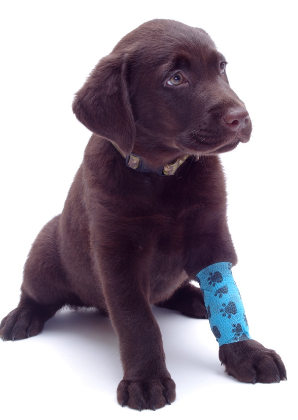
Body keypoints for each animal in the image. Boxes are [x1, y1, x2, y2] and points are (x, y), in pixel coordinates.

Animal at [0, 18, 286, 410]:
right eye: (175, 79)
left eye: (221, 67)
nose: (241, 118)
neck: (162, 175)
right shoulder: (117, 256)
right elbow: (137, 321)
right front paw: (146, 379)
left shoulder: (212, 237)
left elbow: (228, 299)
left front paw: (247, 353)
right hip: (44, 257)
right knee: (36, 293)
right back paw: (23, 316)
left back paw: (194, 299)